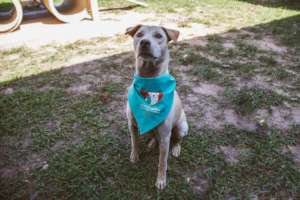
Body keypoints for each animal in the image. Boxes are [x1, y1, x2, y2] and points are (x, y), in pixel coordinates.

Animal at [125, 24, 188, 189]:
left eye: (159, 36)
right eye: (139, 34)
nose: (144, 42)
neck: (149, 81)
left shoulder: (166, 136)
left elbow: (162, 162)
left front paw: (161, 180)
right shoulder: (132, 125)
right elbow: (134, 143)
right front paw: (134, 156)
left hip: (181, 128)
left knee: (178, 139)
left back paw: (176, 148)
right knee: (153, 135)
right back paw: (152, 143)